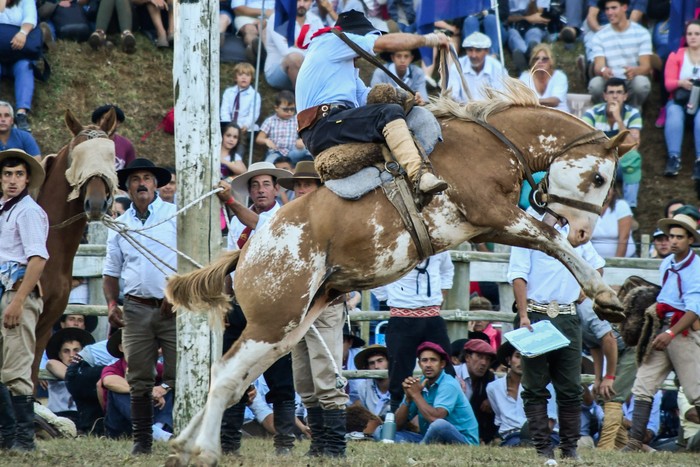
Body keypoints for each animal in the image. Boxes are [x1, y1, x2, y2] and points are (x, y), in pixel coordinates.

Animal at [165, 82, 636, 466]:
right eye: (598, 177)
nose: (583, 232)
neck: (487, 145)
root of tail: (247, 252)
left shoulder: (492, 226)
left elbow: (548, 244)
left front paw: (606, 295)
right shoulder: (496, 213)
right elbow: (551, 241)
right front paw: (608, 299)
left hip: (288, 328)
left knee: (235, 376)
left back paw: (183, 445)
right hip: (272, 320)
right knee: (226, 375)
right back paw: (203, 451)